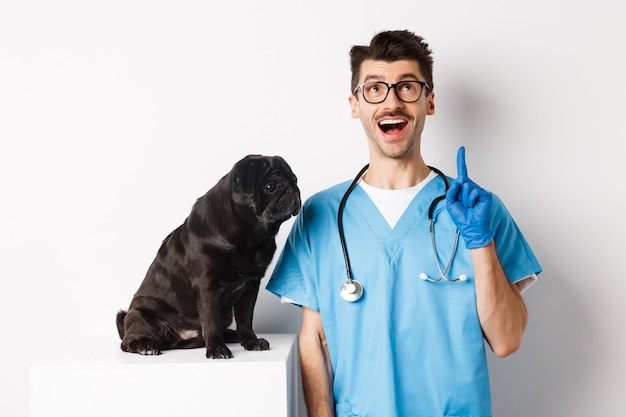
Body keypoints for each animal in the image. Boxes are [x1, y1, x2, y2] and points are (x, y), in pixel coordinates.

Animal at [117, 154, 302, 360]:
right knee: (127, 342)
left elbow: (245, 319)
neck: (249, 237)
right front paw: (216, 349)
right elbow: (211, 322)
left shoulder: (250, 287)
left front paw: (251, 341)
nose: (292, 189)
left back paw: (231, 335)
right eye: (270, 186)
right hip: (140, 316)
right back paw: (145, 345)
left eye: (295, 180)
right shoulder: (208, 288)